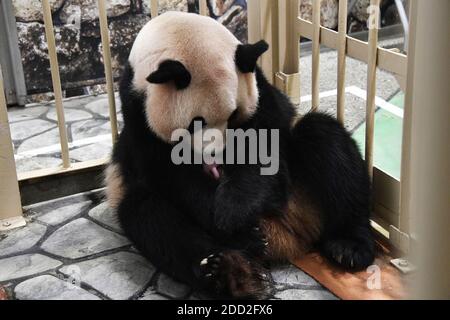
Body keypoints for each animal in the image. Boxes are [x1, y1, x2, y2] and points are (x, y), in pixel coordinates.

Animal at [104, 11, 372, 298]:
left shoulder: (260, 88)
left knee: (326, 141)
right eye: (195, 123)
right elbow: (171, 175)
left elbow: (265, 144)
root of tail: (286, 239)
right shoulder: (137, 113)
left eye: (234, 116)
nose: (217, 156)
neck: (174, 30)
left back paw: (349, 246)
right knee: (150, 217)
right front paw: (237, 230)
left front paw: (233, 211)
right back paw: (231, 273)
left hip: (303, 197)